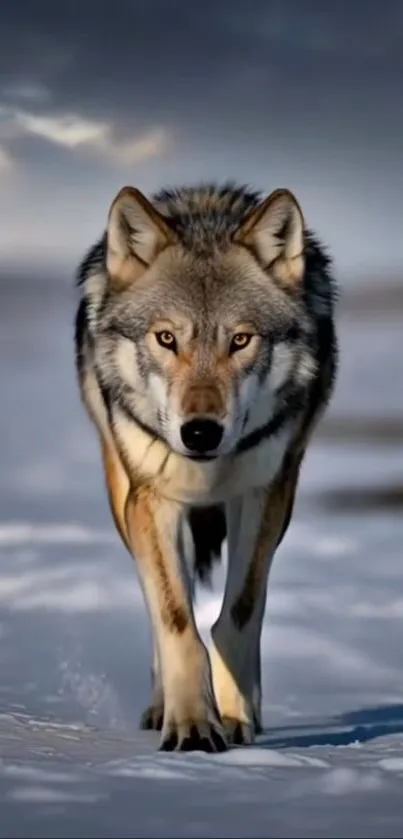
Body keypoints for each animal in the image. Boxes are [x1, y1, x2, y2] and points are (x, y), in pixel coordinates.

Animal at [74, 181, 338, 752]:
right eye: (166, 338)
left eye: (240, 340)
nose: (199, 433)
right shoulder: (154, 501)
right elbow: (177, 622)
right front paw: (193, 724)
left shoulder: (263, 495)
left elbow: (237, 615)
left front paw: (235, 717)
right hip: (124, 502)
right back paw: (160, 707)